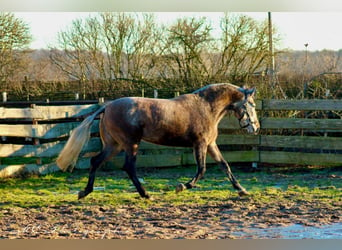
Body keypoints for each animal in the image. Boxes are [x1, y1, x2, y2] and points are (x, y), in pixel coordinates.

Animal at [56, 83, 260, 200]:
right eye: (252, 105)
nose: (256, 128)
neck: (206, 107)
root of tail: (107, 106)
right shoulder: (200, 144)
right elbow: (201, 170)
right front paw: (181, 187)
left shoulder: (210, 145)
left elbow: (225, 166)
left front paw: (242, 190)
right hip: (130, 144)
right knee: (129, 167)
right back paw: (145, 194)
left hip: (114, 145)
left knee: (96, 161)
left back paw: (84, 192)